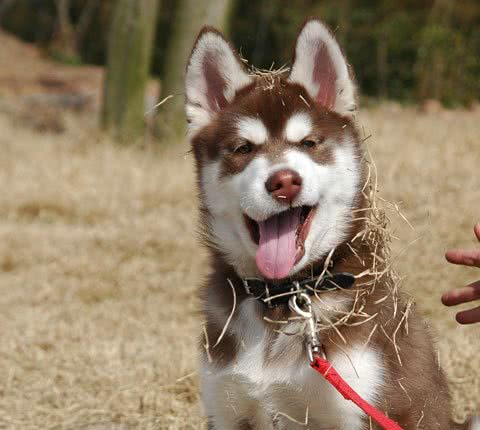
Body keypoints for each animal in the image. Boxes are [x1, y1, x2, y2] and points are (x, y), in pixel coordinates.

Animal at [183, 17, 476, 430]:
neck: (286, 297)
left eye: (308, 143)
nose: (284, 181)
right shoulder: (226, 406)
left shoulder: (362, 406)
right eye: (243, 149)